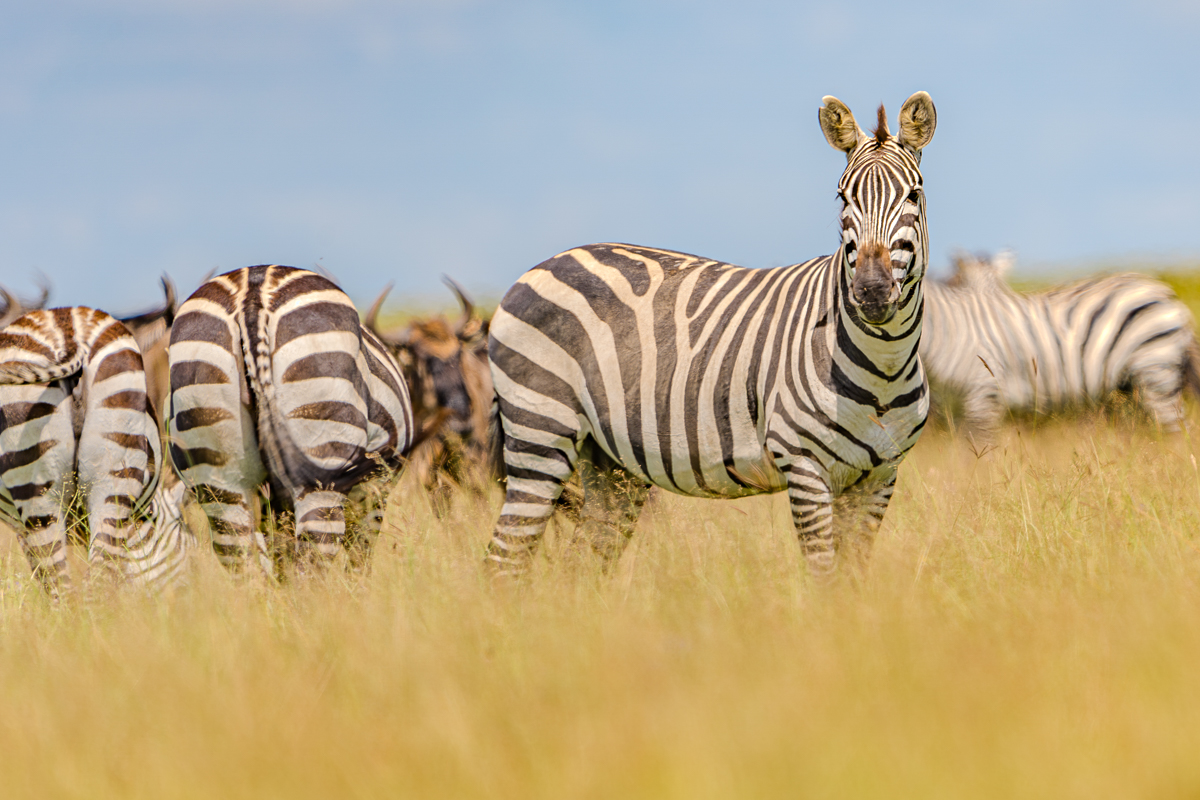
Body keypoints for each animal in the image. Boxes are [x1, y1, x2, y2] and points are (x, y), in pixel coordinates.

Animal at [167, 265, 414, 575]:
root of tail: (252, 297)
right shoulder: (374, 491)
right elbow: (359, 562)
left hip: (218, 474)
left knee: (241, 560)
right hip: (321, 465)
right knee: (312, 564)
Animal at [485, 92, 938, 578]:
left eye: (914, 194)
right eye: (842, 196)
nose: (871, 291)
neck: (884, 364)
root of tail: (545, 264)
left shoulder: (879, 477)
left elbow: (853, 581)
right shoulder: (804, 465)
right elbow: (823, 575)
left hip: (608, 463)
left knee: (578, 564)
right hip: (540, 429)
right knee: (503, 560)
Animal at [921, 251, 1200, 435]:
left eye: (954, 281)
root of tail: (1166, 292)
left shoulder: (983, 392)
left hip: (1155, 369)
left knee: (1178, 430)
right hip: (1136, 381)